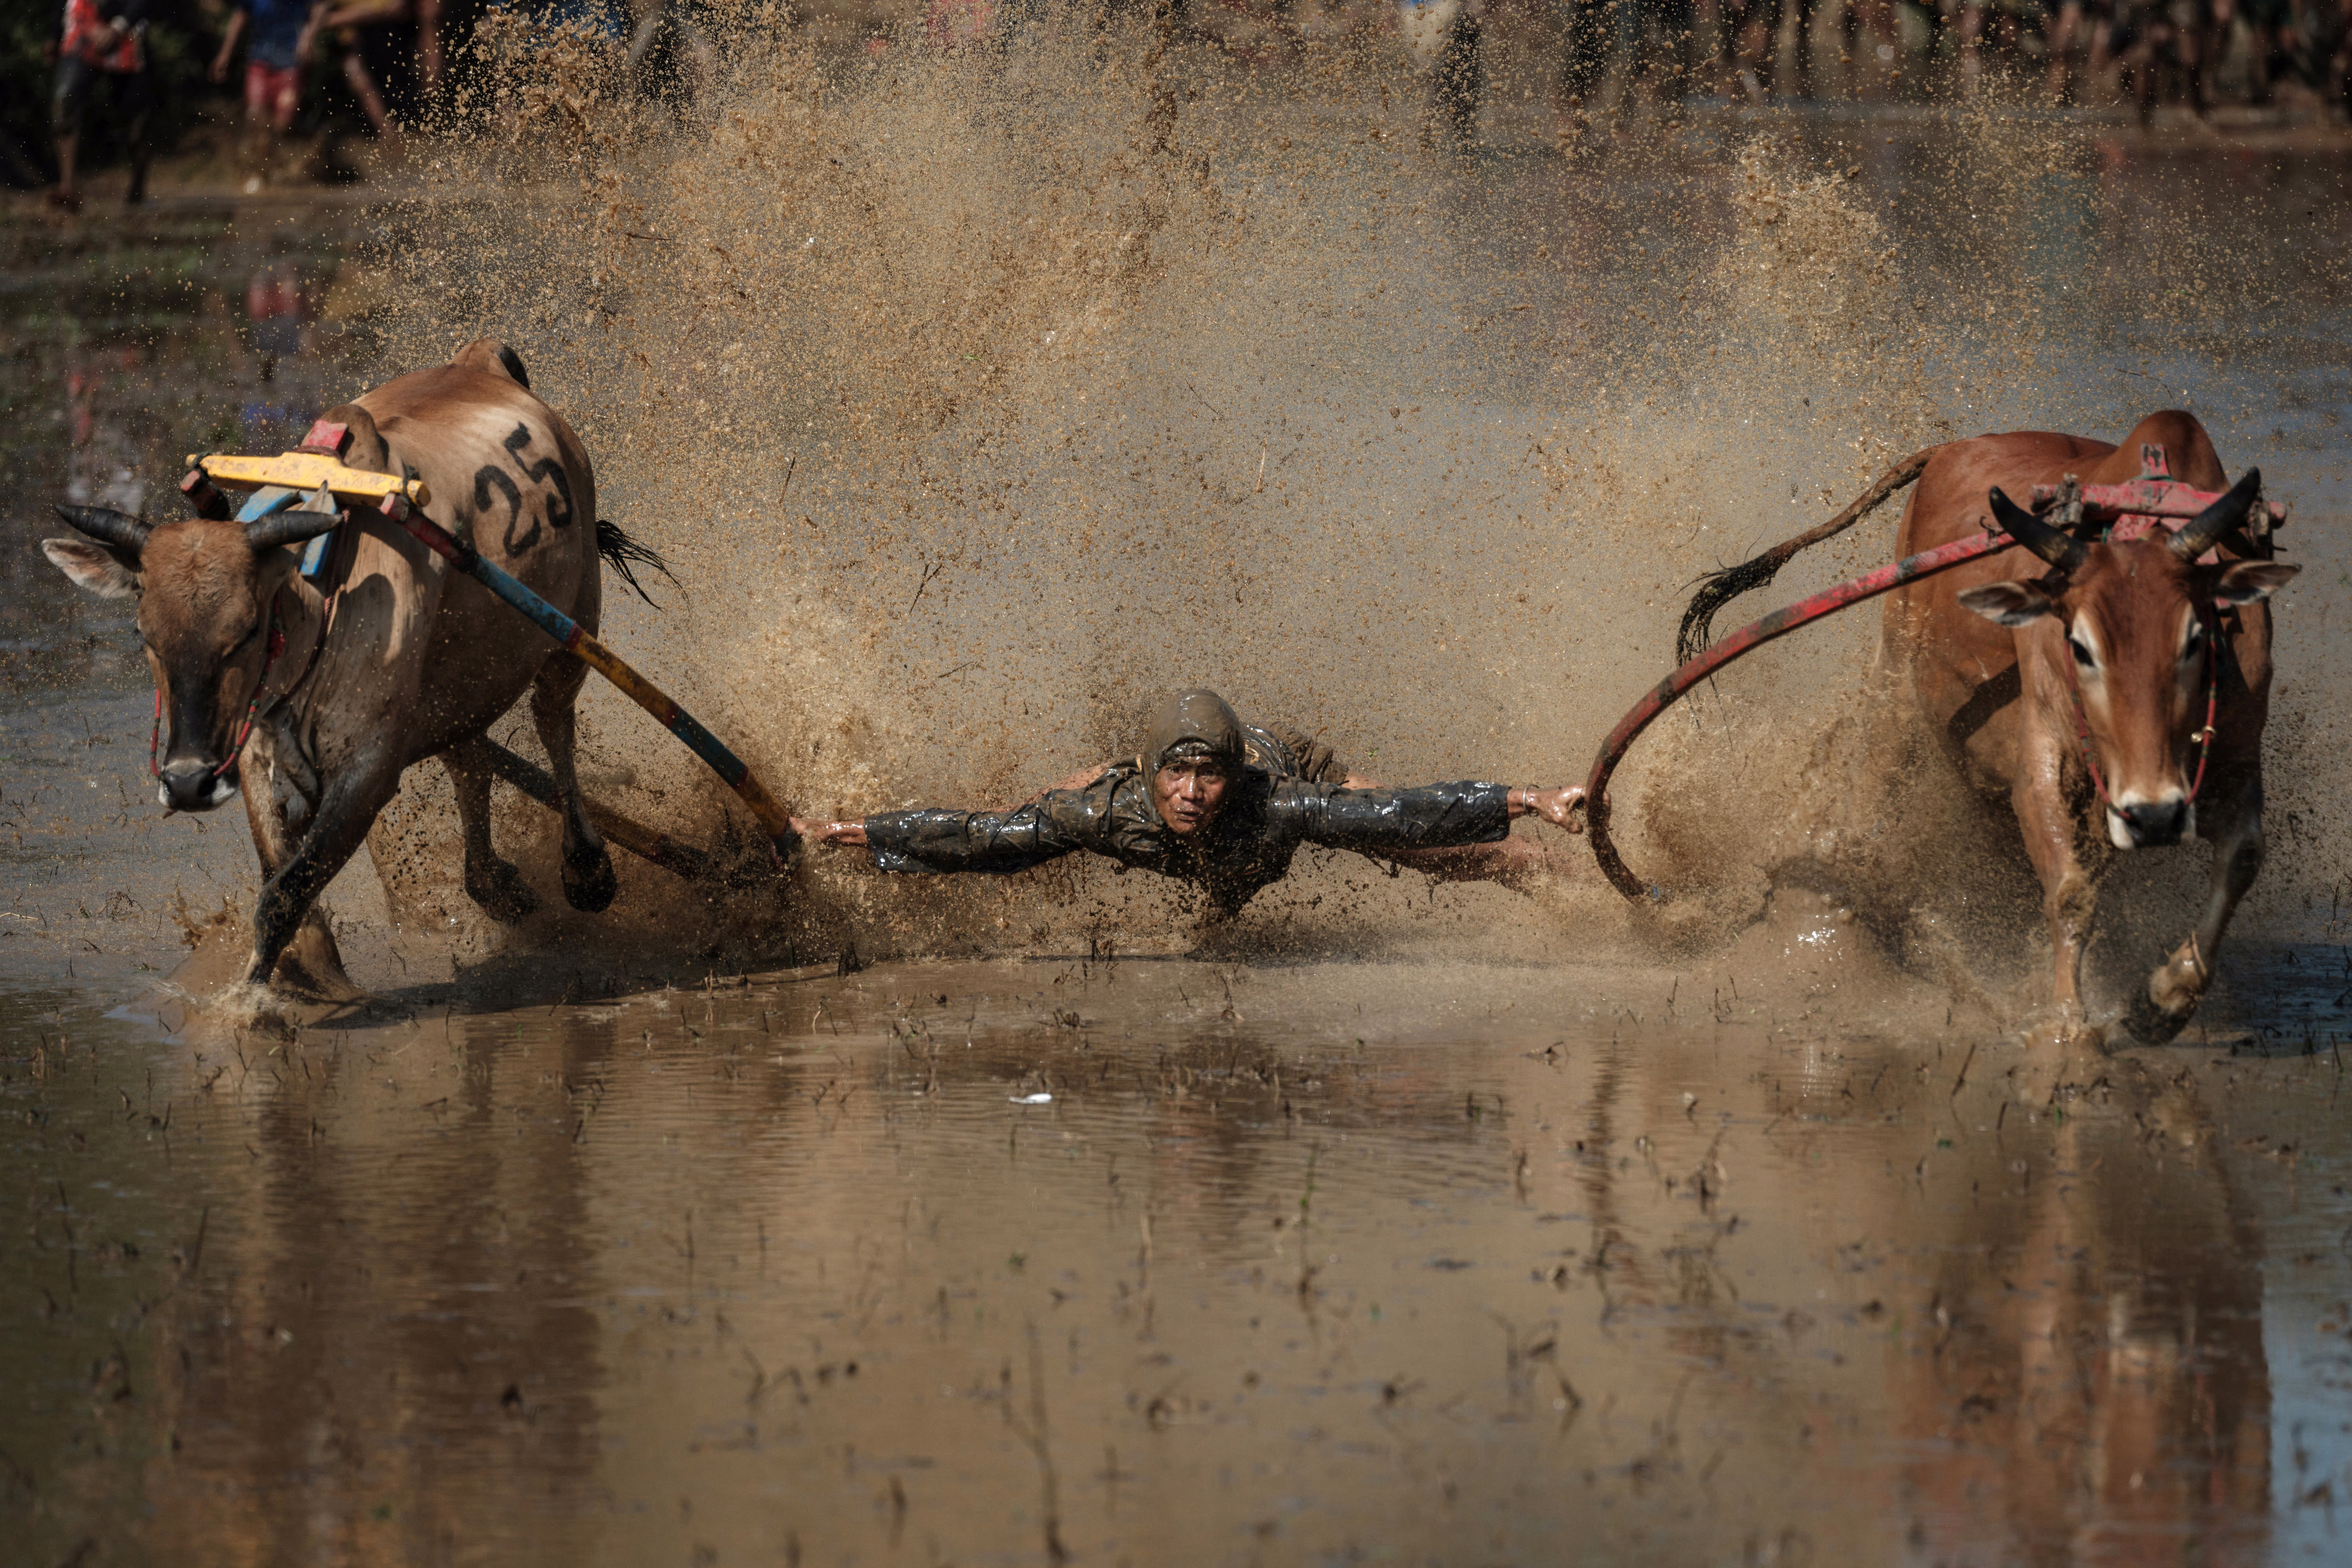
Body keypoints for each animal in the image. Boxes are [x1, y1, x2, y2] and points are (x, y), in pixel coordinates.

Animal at [41, 339, 657, 997]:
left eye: (248, 630)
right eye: (144, 635)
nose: (185, 782)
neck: (323, 593)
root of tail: (480, 360)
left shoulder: (369, 769)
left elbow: (286, 894)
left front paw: (255, 999)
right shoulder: (257, 756)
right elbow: (282, 881)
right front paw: (302, 972)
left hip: (576, 620)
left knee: (554, 724)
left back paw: (587, 869)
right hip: (459, 684)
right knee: (471, 764)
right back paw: (496, 886)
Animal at [1882, 411, 2297, 1044]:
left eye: (2195, 639)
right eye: (2080, 647)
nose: (2155, 815)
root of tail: (1948, 450)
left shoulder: (2236, 759)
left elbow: (2243, 858)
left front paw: (2165, 999)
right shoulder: (2042, 766)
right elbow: (2073, 893)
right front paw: (2066, 1023)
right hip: (1894, 677)